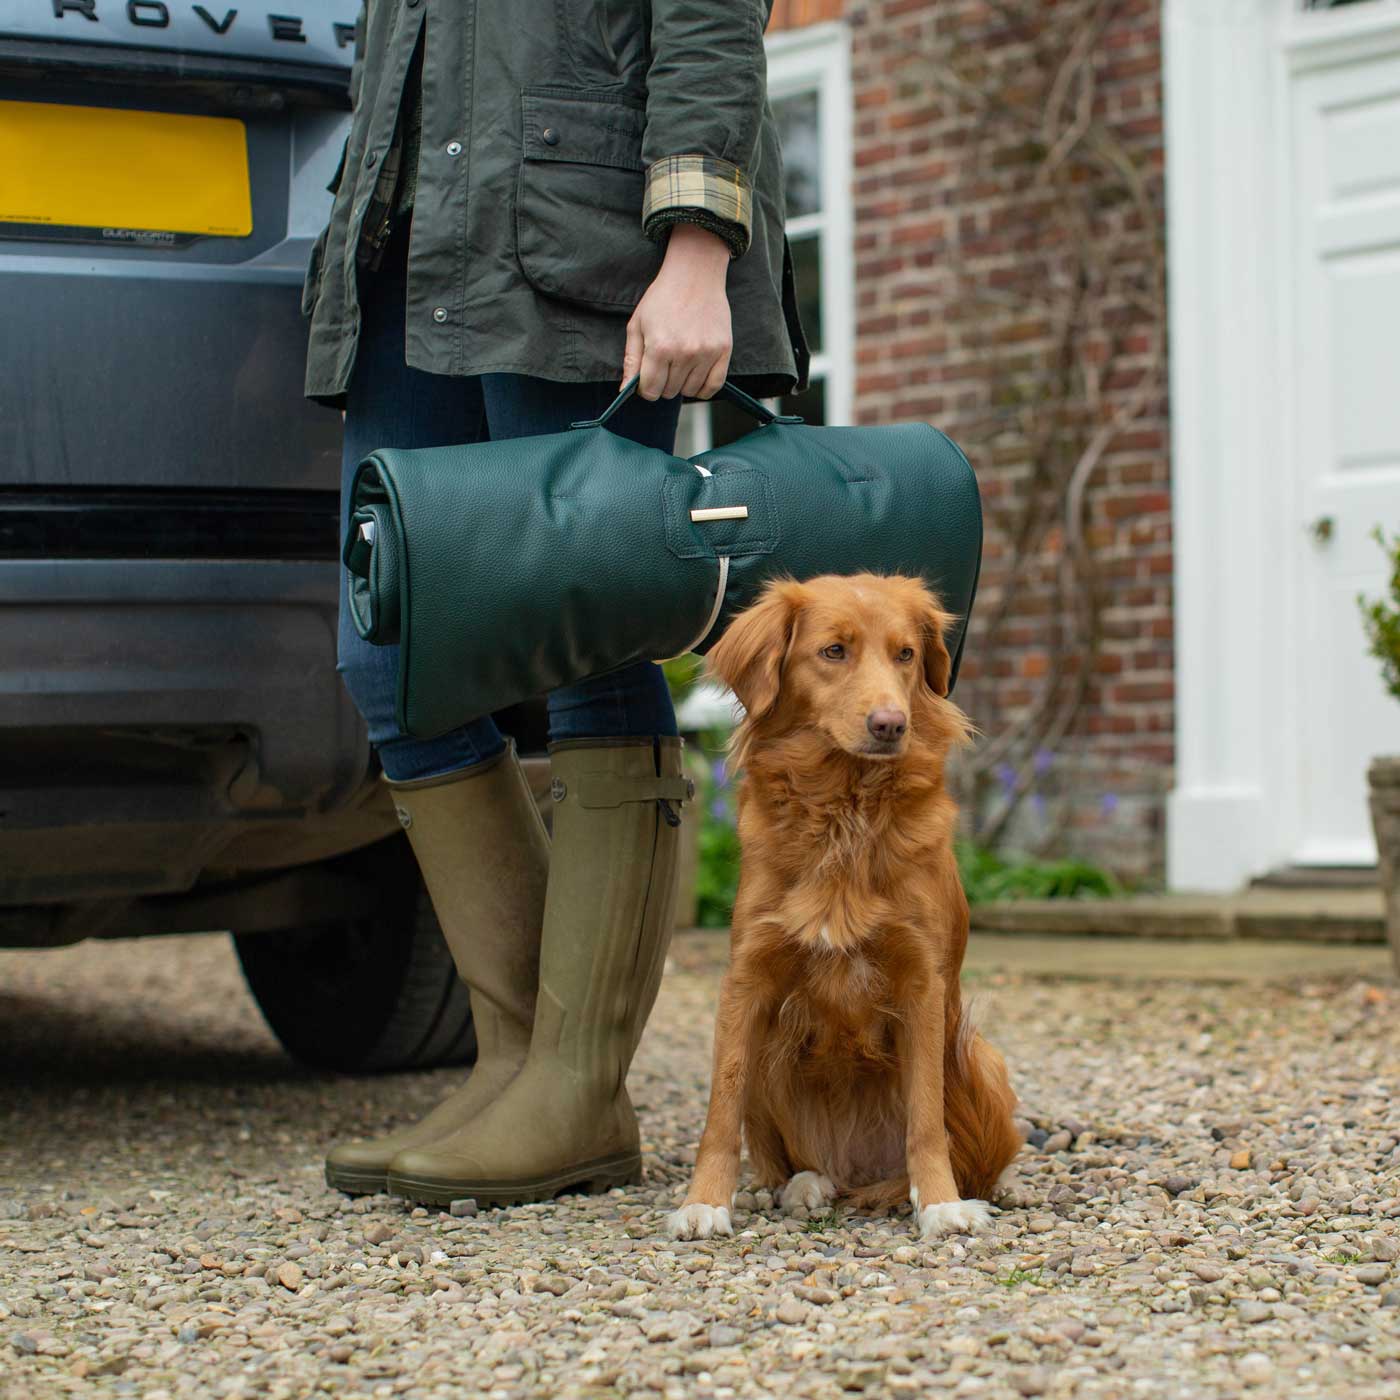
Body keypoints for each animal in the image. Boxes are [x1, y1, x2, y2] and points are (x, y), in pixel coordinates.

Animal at [666, 574, 1019, 1243]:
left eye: (905, 654)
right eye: (833, 651)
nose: (891, 724)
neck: (844, 807)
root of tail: (855, 1171)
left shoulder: (922, 983)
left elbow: (926, 1118)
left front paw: (940, 1204)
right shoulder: (746, 978)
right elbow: (721, 1110)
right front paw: (704, 1203)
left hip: (978, 1057)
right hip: (766, 1048)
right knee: (791, 1157)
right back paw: (803, 1185)